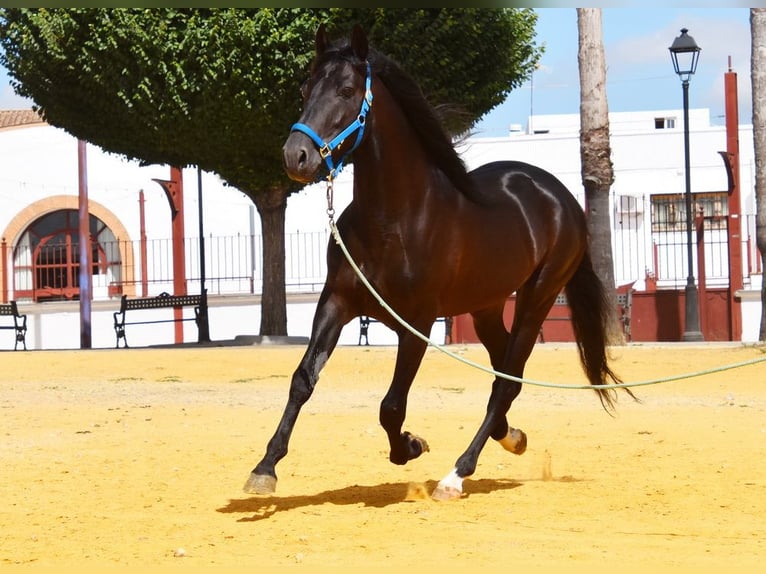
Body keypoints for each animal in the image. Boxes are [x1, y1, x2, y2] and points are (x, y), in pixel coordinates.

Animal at [246, 27, 632, 502]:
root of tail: (560, 196)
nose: (295, 156)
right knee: (505, 375)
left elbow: (391, 406)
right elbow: (303, 379)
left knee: (506, 379)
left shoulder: (418, 321)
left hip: (538, 298)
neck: (396, 219)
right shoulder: (337, 302)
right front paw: (265, 468)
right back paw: (510, 436)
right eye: (305, 89)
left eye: (347, 91)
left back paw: (456, 475)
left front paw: (410, 446)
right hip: (486, 306)